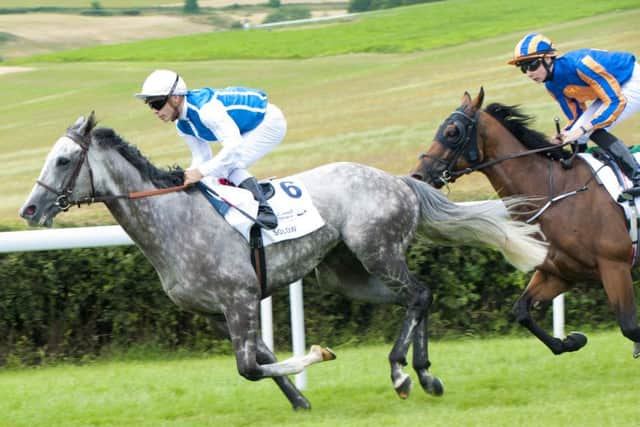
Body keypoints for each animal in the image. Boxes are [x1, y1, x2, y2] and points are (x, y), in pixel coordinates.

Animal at [22, 112, 548, 410]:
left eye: (64, 161)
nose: (29, 209)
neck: (175, 221)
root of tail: (399, 180)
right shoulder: (219, 311)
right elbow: (263, 358)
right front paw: (300, 400)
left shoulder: (239, 297)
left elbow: (250, 368)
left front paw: (317, 356)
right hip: (345, 275)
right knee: (420, 297)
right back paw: (425, 376)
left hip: (377, 251)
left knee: (418, 293)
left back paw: (403, 372)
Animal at [410, 88, 640, 360]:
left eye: (452, 132)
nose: (418, 174)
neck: (556, 192)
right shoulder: (561, 273)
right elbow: (521, 310)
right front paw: (572, 340)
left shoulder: (615, 266)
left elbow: (630, 327)